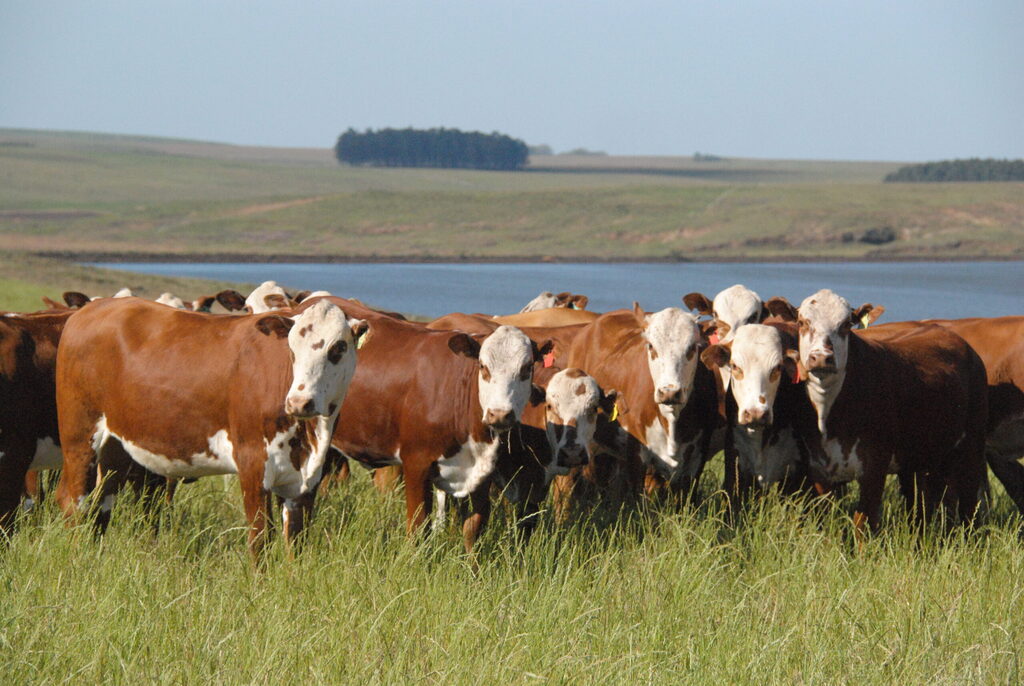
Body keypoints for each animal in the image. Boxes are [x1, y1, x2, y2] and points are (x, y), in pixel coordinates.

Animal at [56, 298, 366, 556]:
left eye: (338, 348)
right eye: (291, 349)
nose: (299, 402)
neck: (311, 435)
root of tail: (89, 310)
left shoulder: (305, 481)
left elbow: (296, 541)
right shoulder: (253, 463)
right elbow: (260, 538)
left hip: (117, 447)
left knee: (101, 505)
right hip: (80, 437)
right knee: (74, 502)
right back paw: (76, 556)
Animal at [770, 290, 987, 532]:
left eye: (846, 324)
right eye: (802, 322)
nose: (821, 357)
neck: (829, 416)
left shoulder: (874, 467)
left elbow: (863, 523)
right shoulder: (818, 469)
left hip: (972, 446)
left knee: (969, 504)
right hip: (923, 456)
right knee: (921, 503)